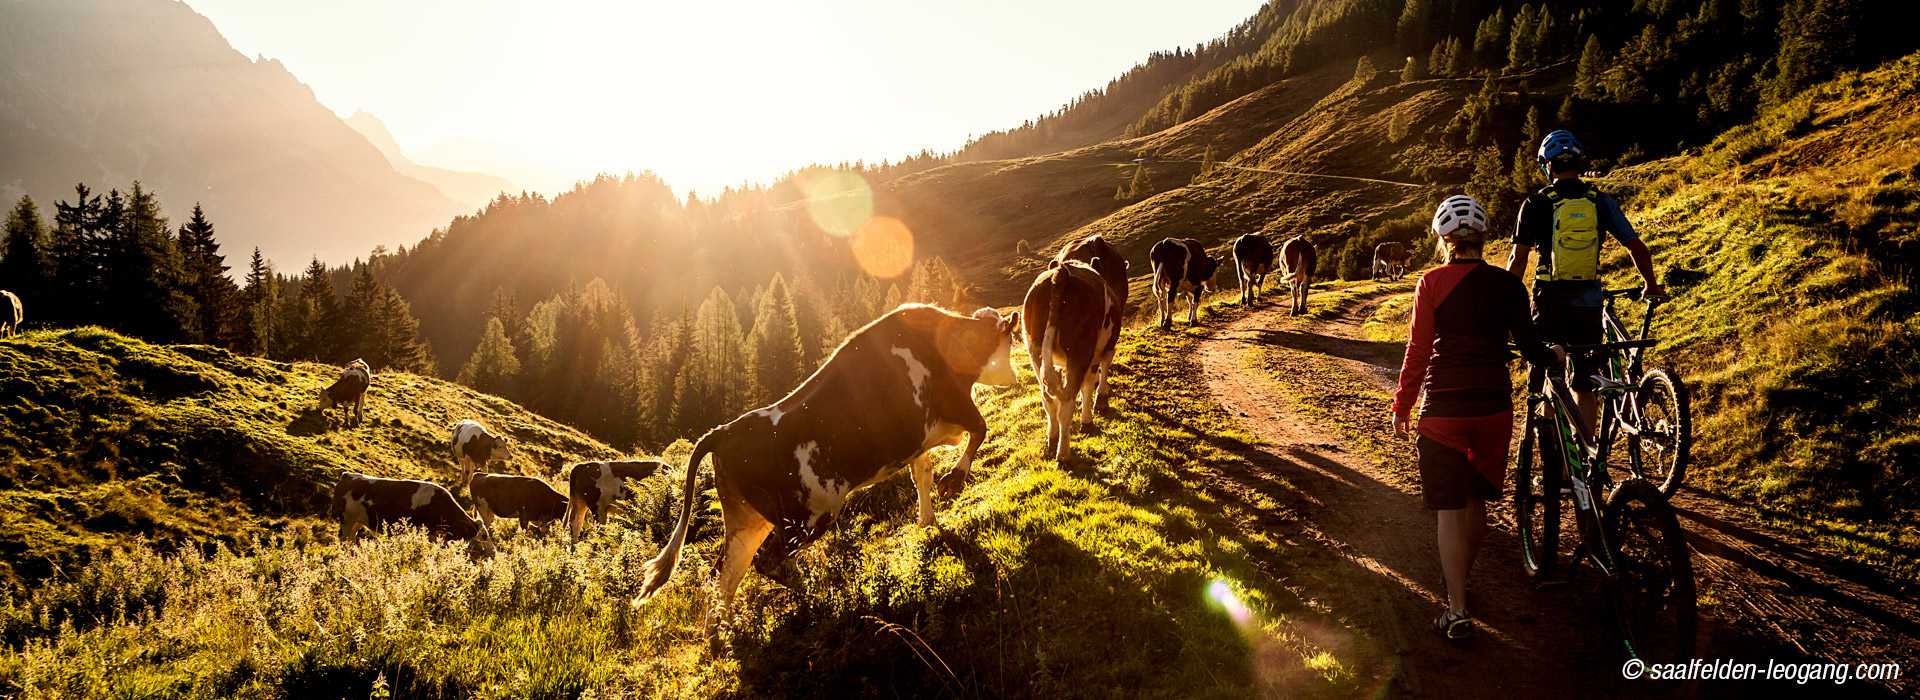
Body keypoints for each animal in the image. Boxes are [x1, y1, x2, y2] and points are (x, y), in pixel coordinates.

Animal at [334, 471, 495, 552]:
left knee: (351, 539)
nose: (493, 553)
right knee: (344, 540)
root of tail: (347, 475)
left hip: (357, 522)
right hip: (346, 520)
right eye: (484, 537)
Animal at [629, 304, 1021, 609]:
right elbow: (980, 430)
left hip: (748, 519)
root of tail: (725, 430)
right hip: (809, 515)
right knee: (767, 563)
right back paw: (814, 595)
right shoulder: (956, 405)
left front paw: (927, 521)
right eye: (1010, 339)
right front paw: (954, 481)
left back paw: (725, 639)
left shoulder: (917, 440)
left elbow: (922, 476)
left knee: (722, 577)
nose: (1015, 376)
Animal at [1021, 258, 1113, 460]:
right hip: (1080, 352)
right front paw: (1090, 417)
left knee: (1048, 400)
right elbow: (1091, 384)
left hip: (1034, 351)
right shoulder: (1102, 351)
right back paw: (1063, 453)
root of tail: (1061, 272)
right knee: (1067, 404)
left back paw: (1052, 440)